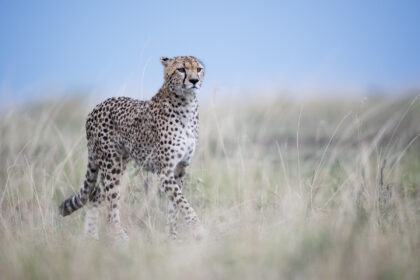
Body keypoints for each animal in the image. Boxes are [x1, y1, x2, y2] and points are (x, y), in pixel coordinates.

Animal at [59, 55, 205, 240]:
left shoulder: (180, 169)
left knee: (95, 196)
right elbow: (182, 202)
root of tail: (95, 108)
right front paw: (198, 229)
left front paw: (173, 236)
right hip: (111, 165)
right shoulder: (165, 172)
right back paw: (121, 238)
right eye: (181, 69)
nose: (194, 81)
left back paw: (91, 238)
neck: (187, 103)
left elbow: (175, 206)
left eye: (198, 69)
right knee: (110, 207)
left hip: (119, 163)